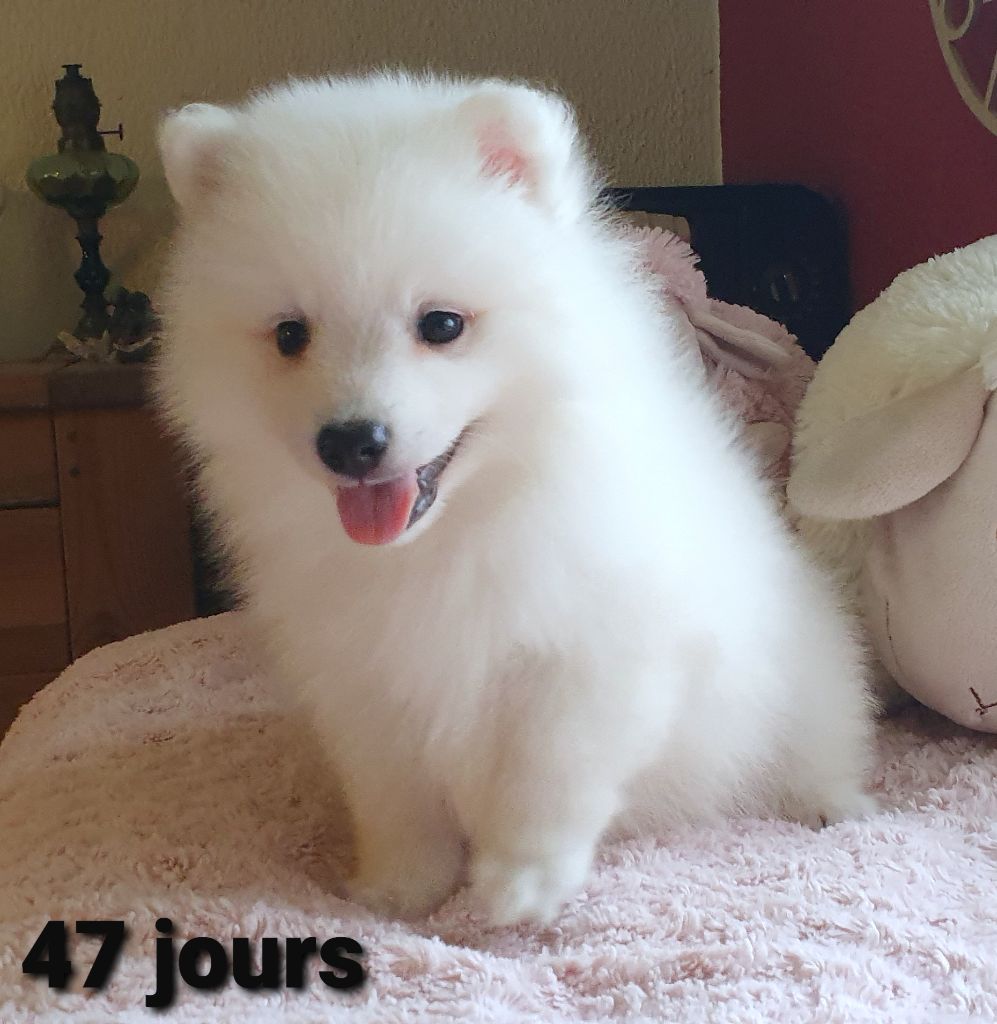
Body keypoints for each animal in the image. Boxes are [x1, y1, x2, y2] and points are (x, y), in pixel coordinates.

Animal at [155, 72, 876, 926]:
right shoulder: (365, 682)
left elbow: (545, 772)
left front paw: (520, 882)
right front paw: (401, 886)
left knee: (818, 746)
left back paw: (829, 805)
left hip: (803, 690)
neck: (456, 526)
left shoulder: (586, 655)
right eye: (289, 335)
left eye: (441, 324)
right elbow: (394, 798)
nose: (350, 440)